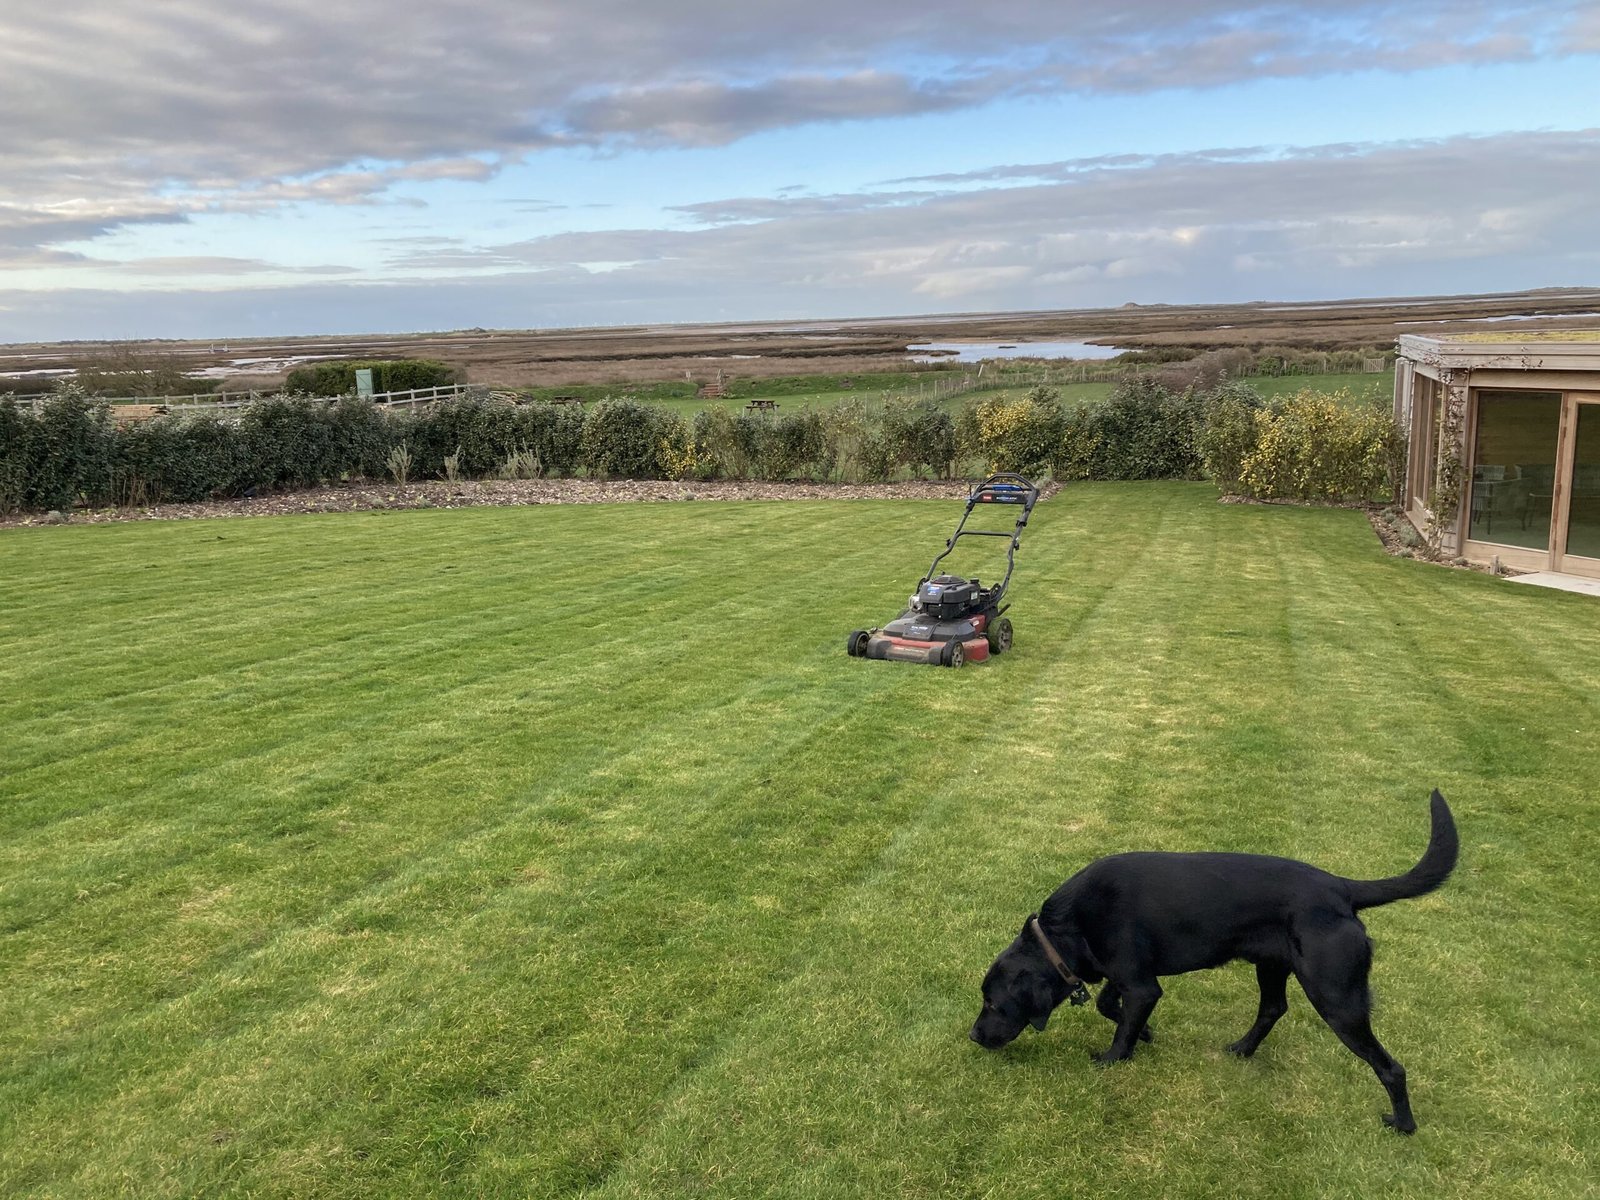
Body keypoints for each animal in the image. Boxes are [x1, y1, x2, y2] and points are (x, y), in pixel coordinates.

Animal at [966, 793, 1459, 1132]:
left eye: (992, 1003)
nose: (973, 1036)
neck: (1067, 927)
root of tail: (1341, 887)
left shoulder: (1141, 984)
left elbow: (1120, 1030)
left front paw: (1112, 1058)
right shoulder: (1126, 977)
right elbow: (1113, 1007)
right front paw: (1146, 1032)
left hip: (1336, 997)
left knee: (1390, 1067)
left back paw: (1403, 1125)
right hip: (1272, 966)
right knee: (1273, 1008)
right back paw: (1242, 1049)